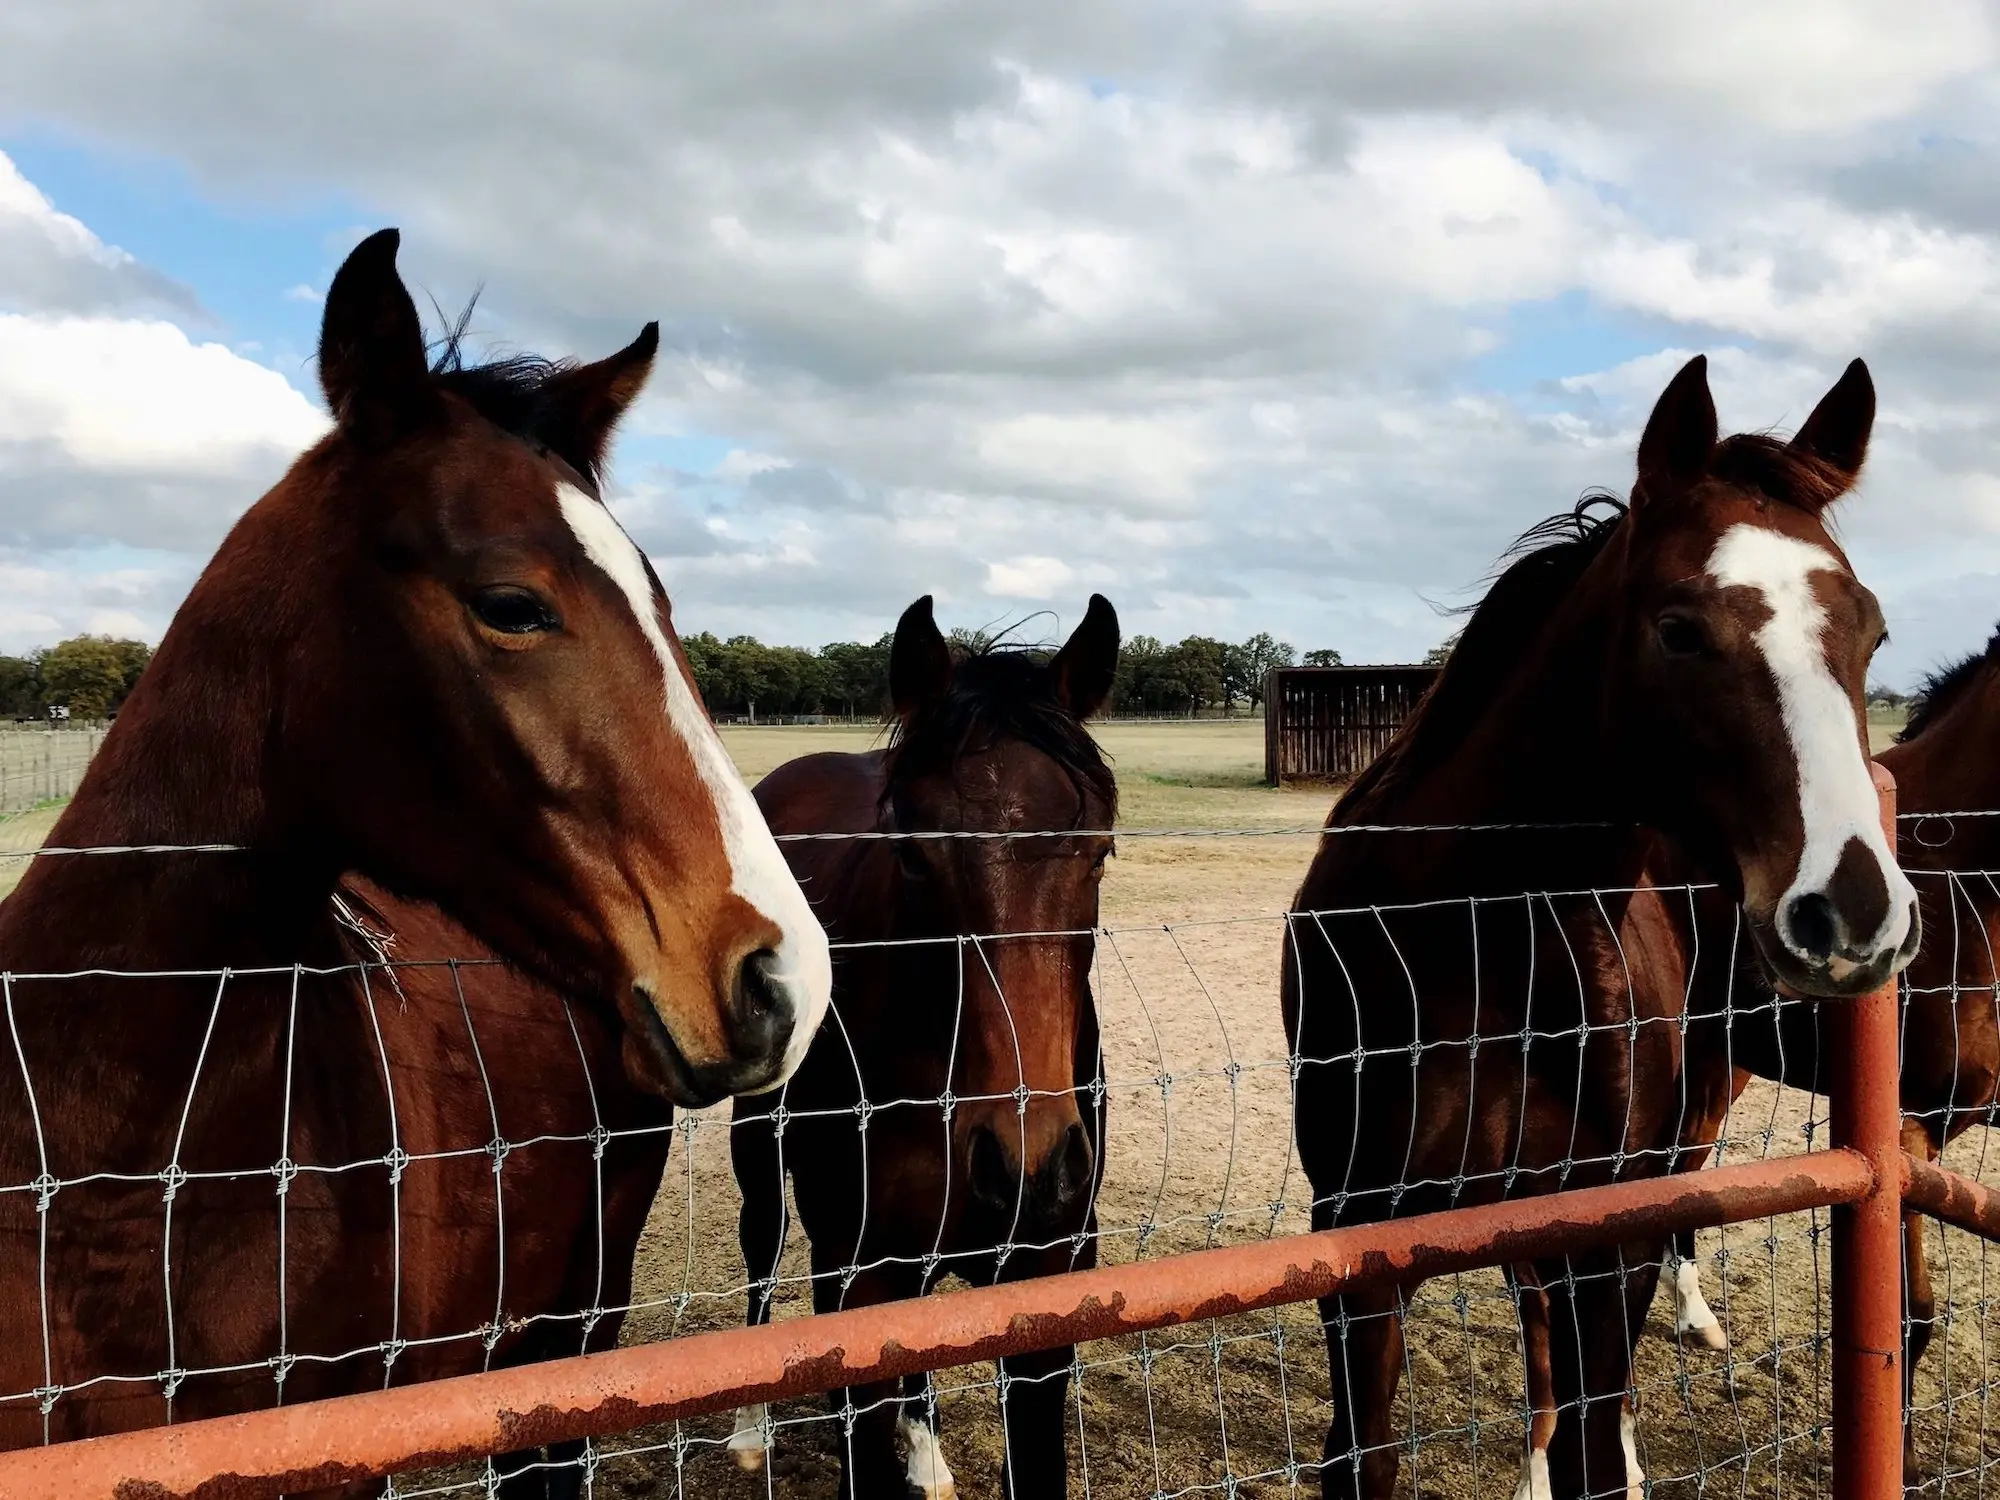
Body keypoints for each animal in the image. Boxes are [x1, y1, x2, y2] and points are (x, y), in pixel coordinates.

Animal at [728, 596, 1128, 1500]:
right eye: (912, 854)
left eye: (1100, 852)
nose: (1024, 1167)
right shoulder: (853, 1285)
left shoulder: (1042, 1285)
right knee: (760, 1245)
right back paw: (750, 1430)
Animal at [1280, 356, 1920, 1500]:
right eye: (1677, 628)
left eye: (1872, 632)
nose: (1850, 912)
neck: (1469, 936)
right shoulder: (1358, 1243)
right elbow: (1367, 1456)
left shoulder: (1601, 1235)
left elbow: (1595, 1427)